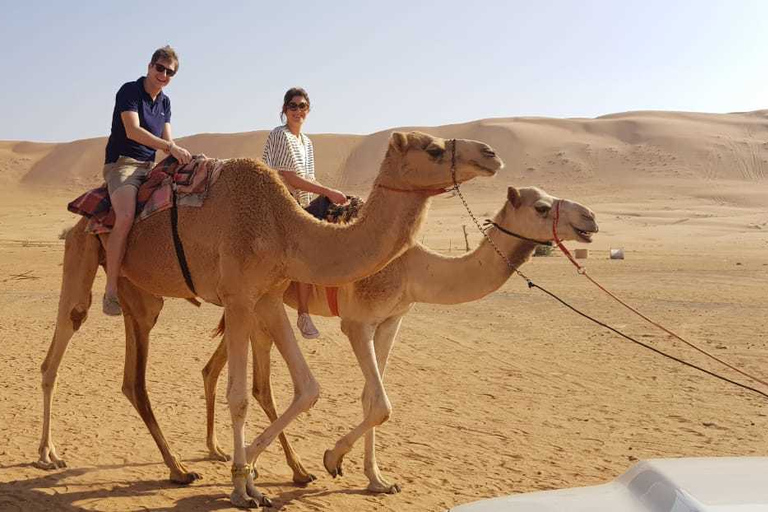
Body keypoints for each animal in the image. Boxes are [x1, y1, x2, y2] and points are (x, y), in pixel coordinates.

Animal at [34, 131, 504, 508]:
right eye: (434, 148)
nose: (491, 154)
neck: (285, 228)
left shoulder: (269, 297)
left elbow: (307, 387)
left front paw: (271, 474)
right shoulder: (240, 298)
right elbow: (240, 396)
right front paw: (244, 488)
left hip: (143, 295)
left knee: (134, 379)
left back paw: (179, 469)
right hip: (83, 251)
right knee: (58, 348)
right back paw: (48, 454)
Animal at [202, 184, 600, 492]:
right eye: (542, 207)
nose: (590, 219)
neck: (413, 268)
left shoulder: (391, 320)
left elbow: (370, 398)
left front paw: (377, 480)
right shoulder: (357, 322)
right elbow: (381, 404)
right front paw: (333, 458)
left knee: (216, 369)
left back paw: (229, 454)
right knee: (259, 384)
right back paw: (265, 465)